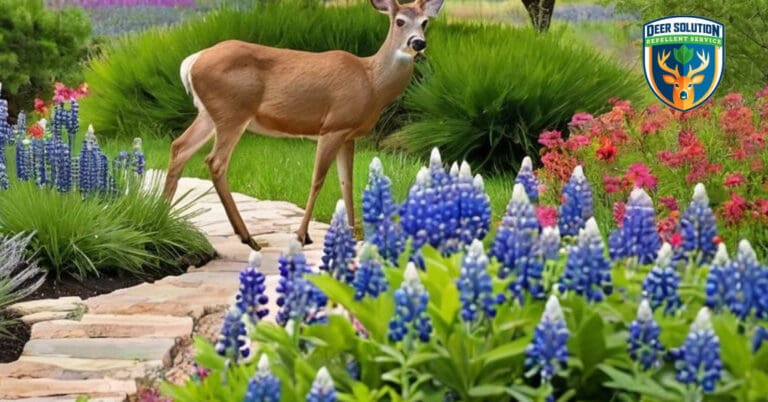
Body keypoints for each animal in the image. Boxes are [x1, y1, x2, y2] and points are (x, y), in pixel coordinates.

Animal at [162, 0, 444, 250]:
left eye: (425, 22)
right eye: (400, 21)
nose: (418, 43)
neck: (371, 82)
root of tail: (192, 62)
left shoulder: (349, 134)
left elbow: (347, 182)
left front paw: (351, 236)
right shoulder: (333, 126)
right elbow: (318, 180)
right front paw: (301, 235)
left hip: (210, 114)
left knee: (180, 146)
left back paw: (163, 216)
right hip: (233, 111)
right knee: (215, 161)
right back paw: (247, 237)